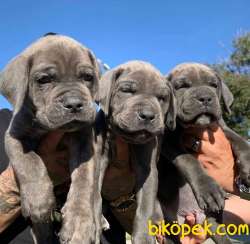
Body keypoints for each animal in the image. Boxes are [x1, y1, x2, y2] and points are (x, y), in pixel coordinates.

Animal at [0, 34, 101, 244]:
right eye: (44, 80)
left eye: (88, 77)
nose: (74, 104)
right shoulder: (14, 136)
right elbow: (29, 162)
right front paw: (38, 199)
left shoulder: (85, 142)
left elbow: (83, 180)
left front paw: (78, 222)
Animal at [95, 61, 176, 244]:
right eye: (127, 91)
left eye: (162, 98)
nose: (147, 115)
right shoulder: (99, 158)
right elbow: (94, 191)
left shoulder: (147, 170)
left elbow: (145, 208)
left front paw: (144, 238)